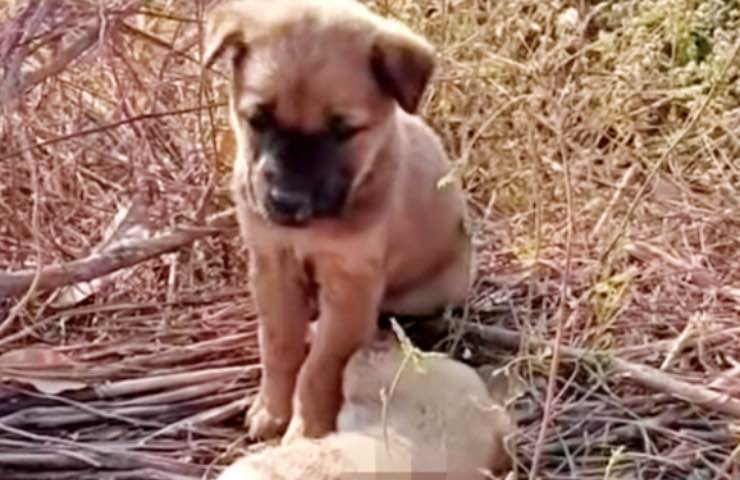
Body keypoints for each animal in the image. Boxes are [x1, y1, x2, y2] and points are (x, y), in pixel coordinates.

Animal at [202, 0, 474, 442]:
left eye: (343, 129)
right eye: (259, 119)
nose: (285, 202)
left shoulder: (351, 284)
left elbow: (320, 366)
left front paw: (306, 430)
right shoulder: (272, 264)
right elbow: (278, 345)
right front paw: (272, 410)